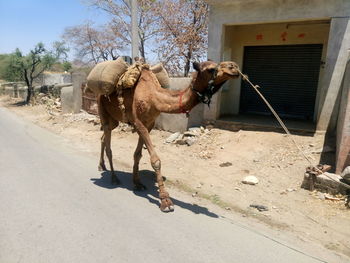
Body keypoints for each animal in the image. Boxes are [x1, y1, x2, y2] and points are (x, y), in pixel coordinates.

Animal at [98, 60, 241, 212]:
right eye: (211, 69)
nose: (234, 67)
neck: (154, 97)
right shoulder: (138, 122)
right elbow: (155, 160)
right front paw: (165, 200)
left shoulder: (149, 124)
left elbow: (137, 155)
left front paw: (137, 183)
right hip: (103, 110)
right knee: (108, 144)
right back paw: (113, 178)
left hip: (114, 120)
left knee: (103, 137)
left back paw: (102, 166)